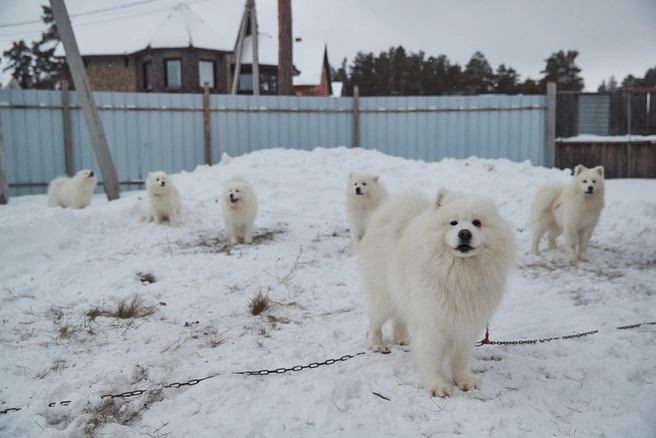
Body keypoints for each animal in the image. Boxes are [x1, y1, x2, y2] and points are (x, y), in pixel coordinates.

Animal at [362, 188, 516, 396]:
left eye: (477, 222)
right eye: (454, 222)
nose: (465, 233)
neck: (460, 273)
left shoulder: (467, 325)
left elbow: (460, 360)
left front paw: (465, 381)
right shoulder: (431, 324)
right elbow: (431, 360)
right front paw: (438, 386)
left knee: (399, 319)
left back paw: (402, 339)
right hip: (383, 299)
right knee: (375, 322)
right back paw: (376, 344)